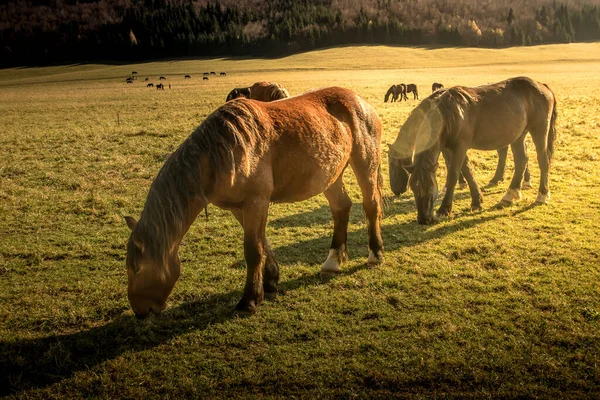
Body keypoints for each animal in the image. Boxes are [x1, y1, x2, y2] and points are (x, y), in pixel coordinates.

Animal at [125, 86, 384, 318]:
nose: (140, 311)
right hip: (330, 176)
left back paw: (375, 254)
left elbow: (253, 249)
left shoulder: (256, 202)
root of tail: (360, 100)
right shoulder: (239, 208)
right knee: (341, 208)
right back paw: (333, 260)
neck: (222, 151)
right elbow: (263, 244)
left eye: (136, 268)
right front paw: (269, 284)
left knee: (371, 206)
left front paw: (248, 300)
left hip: (364, 165)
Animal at [386, 76, 556, 223]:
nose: (423, 219)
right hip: (518, 135)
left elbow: (453, 173)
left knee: (543, 160)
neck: (449, 113)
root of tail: (542, 86)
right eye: (414, 188)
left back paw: (542, 195)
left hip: (539, 130)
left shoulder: (460, 146)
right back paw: (510, 194)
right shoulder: (449, 147)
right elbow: (466, 170)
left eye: (429, 189)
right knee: (521, 160)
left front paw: (444, 209)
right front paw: (477, 200)